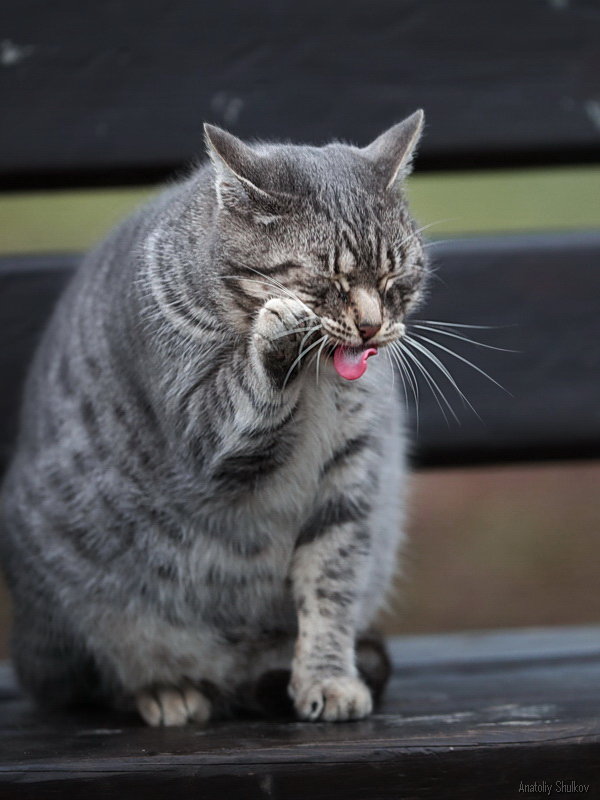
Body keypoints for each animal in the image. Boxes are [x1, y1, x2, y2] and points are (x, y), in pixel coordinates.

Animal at [2, 109, 428, 728]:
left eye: (396, 280)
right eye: (328, 282)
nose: (372, 326)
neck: (317, 386)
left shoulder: (353, 478)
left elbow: (331, 586)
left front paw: (328, 679)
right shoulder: (203, 431)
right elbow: (246, 396)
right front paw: (278, 331)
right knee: (96, 679)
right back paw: (168, 690)